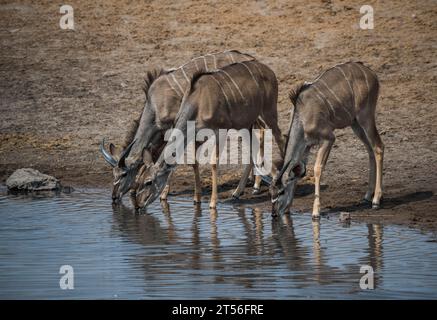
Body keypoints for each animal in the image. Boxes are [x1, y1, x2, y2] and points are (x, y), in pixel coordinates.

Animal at [99, 50, 258, 205]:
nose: (114, 197)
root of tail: (250, 57)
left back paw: (253, 187)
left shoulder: (173, 127)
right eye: (113, 174)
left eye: (124, 174)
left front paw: (163, 194)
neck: (155, 104)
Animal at [135, 60, 284, 210]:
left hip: (268, 112)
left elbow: (213, 162)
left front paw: (213, 202)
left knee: (279, 137)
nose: (139, 204)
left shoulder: (221, 131)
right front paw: (196, 199)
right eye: (138, 181)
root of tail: (268, 70)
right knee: (254, 146)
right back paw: (238, 192)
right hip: (245, 123)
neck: (198, 101)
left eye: (148, 181)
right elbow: (194, 162)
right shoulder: (197, 136)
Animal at [268, 61, 384, 219]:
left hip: (365, 116)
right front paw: (288, 209)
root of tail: (372, 73)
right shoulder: (306, 146)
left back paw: (376, 200)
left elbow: (317, 168)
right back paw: (367, 195)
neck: (302, 117)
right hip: (355, 123)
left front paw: (316, 211)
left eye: (281, 191)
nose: (274, 214)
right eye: (270, 192)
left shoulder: (328, 138)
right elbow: (299, 172)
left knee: (378, 146)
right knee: (370, 149)